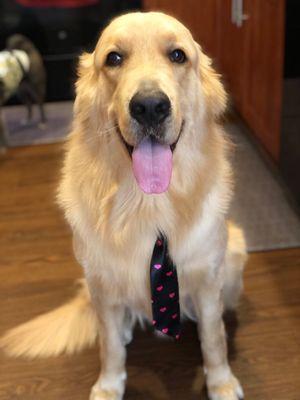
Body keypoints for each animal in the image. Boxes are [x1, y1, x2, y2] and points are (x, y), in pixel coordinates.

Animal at [1, 10, 247, 398]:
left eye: (178, 55)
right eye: (114, 58)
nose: (150, 107)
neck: (147, 205)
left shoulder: (209, 281)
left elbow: (213, 339)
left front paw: (221, 382)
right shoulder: (102, 285)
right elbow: (110, 346)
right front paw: (108, 386)